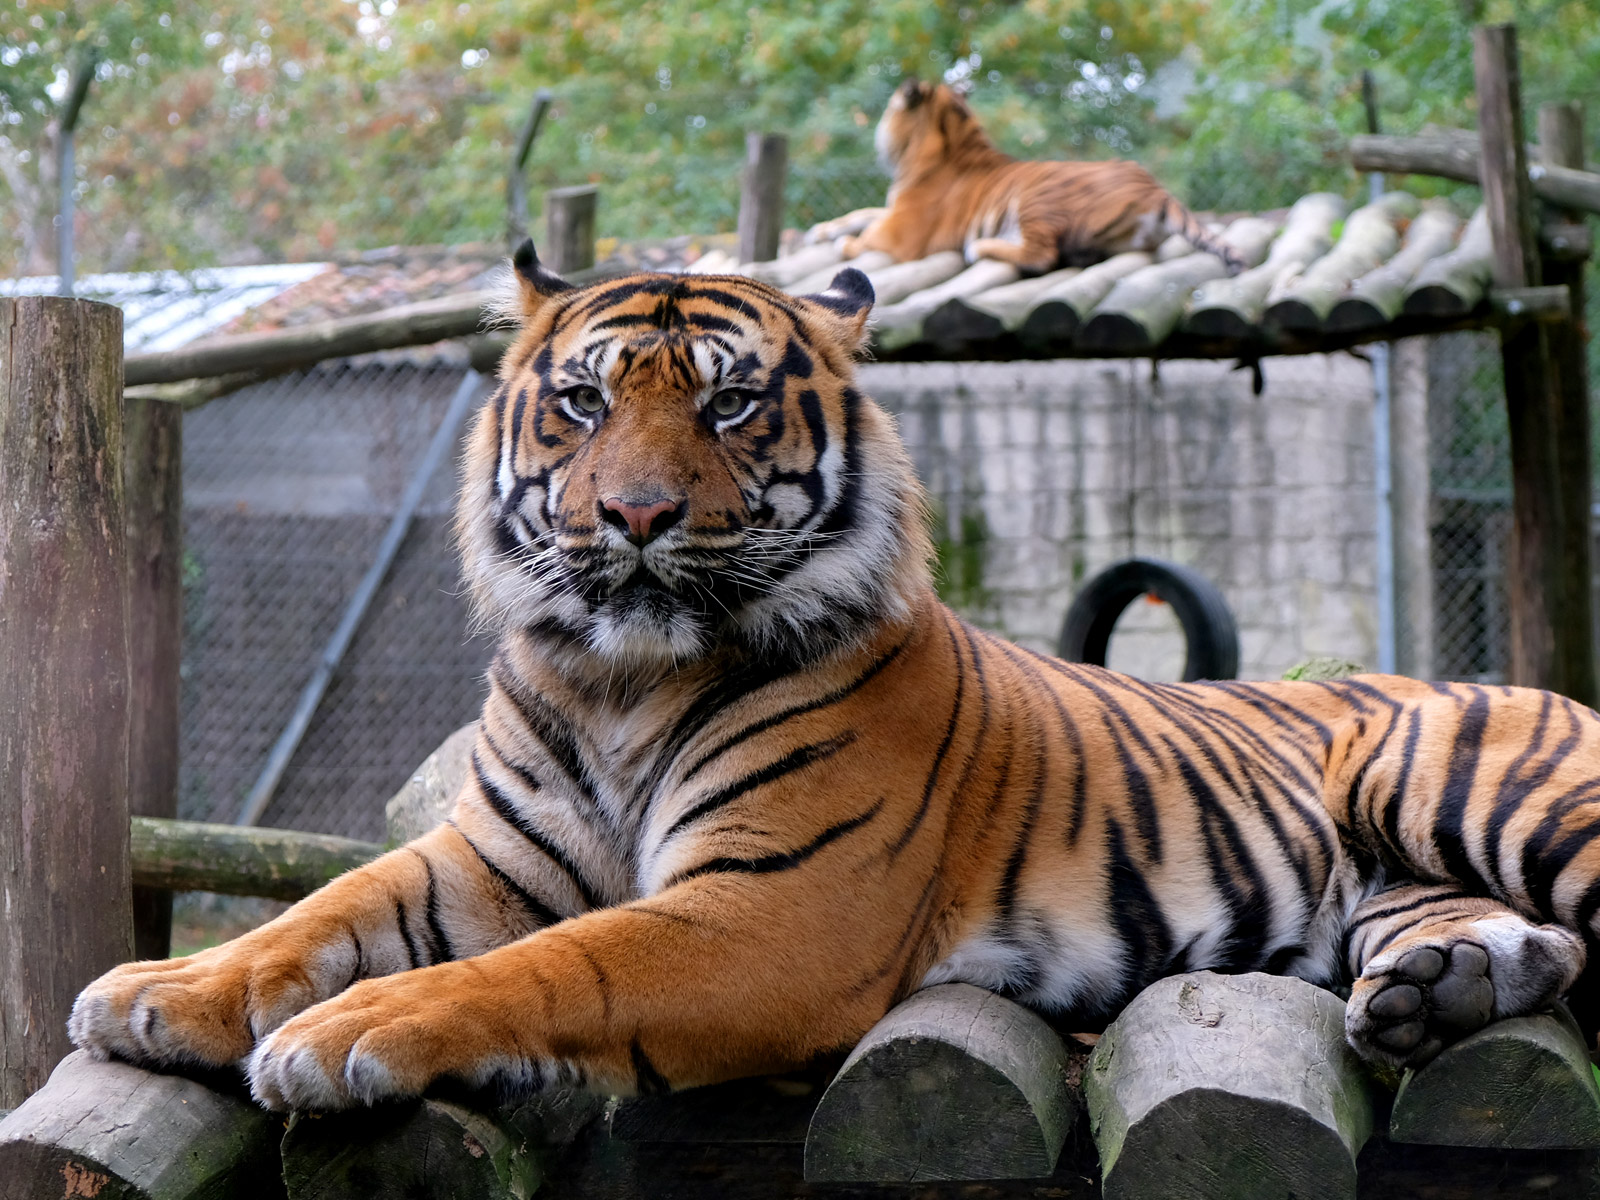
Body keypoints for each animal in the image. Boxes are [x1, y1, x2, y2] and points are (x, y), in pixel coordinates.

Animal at [75, 244, 1600, 1120]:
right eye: (582, 401)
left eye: (729, 403)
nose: (632, 515)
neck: (619, 686)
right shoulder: (490, 856)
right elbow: (319, 911)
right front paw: (162, 990)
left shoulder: (771, 908)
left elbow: (556, 961)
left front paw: (350, 1032)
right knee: (1536, 945)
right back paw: (1439, 989)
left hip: (1437, 775)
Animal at [825, 78, 1248, 276]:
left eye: (888, 111)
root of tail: (1157, 190)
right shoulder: (892, 211)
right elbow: (863, 213)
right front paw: (825, 230)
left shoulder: (902, 231)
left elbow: (869, 233)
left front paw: (845, 244)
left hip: (1034, 200)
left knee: (1042, 254)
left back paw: (981, 247)